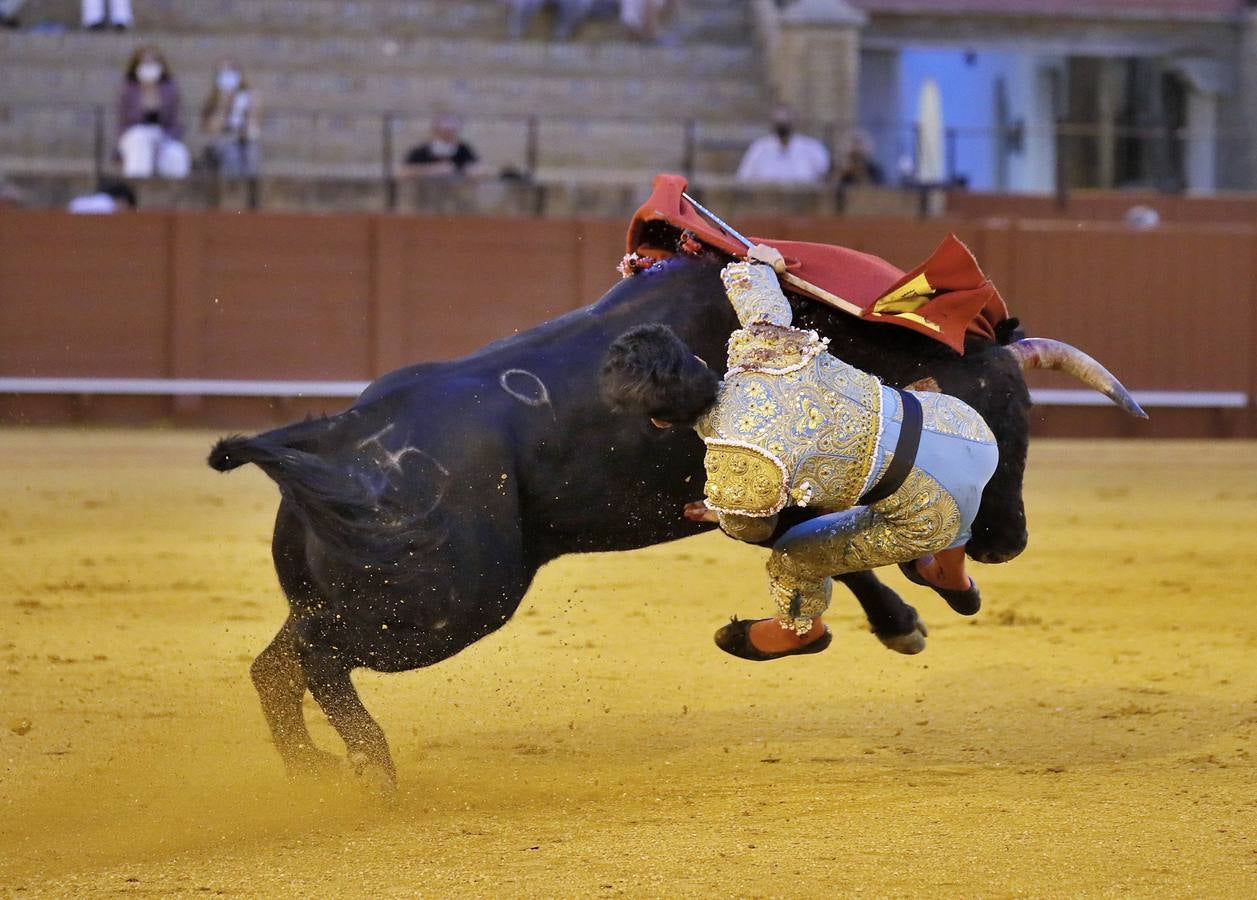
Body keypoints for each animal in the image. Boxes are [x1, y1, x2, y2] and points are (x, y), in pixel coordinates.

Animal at [208, 250, 1121, 784]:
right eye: (1008, 415)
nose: (1006, 544)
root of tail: (333, 436)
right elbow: (830, 544)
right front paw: (908, 615)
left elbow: (825, 548)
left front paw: (903, 616)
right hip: (444, 606)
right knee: (320, 661)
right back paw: (370, 768)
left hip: (354, 595)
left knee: (276, 664)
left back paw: (314, 769)